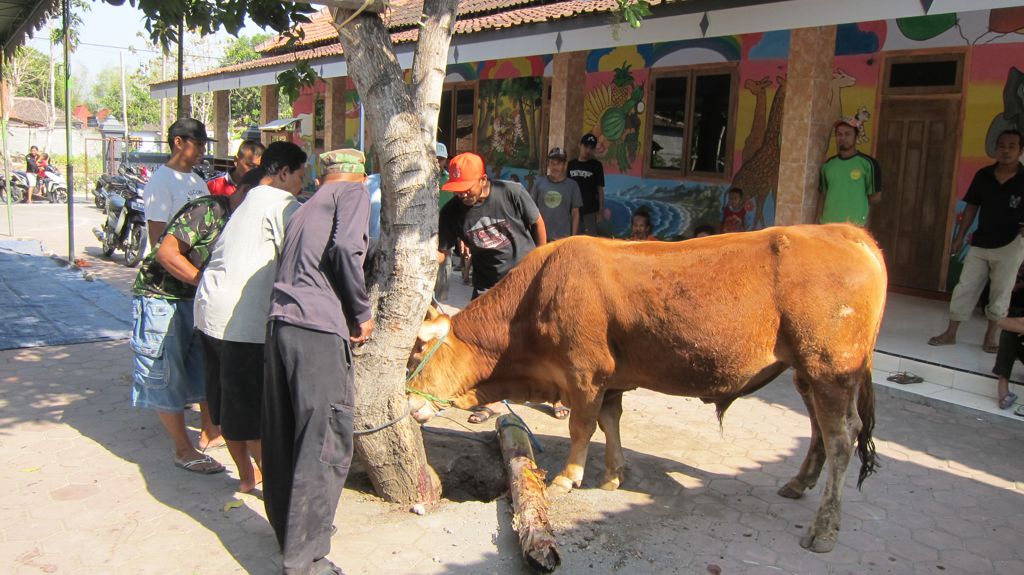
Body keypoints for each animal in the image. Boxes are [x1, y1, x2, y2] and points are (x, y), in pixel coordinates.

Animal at [403, 224, 884, 552]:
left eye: (417, 351)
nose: (406, 404)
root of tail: (845, 231)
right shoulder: (610, 380)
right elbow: (610, 420)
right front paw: (614, 473)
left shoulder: (583, 373)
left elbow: (582, 427)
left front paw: (569, 477)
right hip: (808, 372)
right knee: (820, 430)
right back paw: (799, 483)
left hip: (831, 368)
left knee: (841, 437)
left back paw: (824, 527)